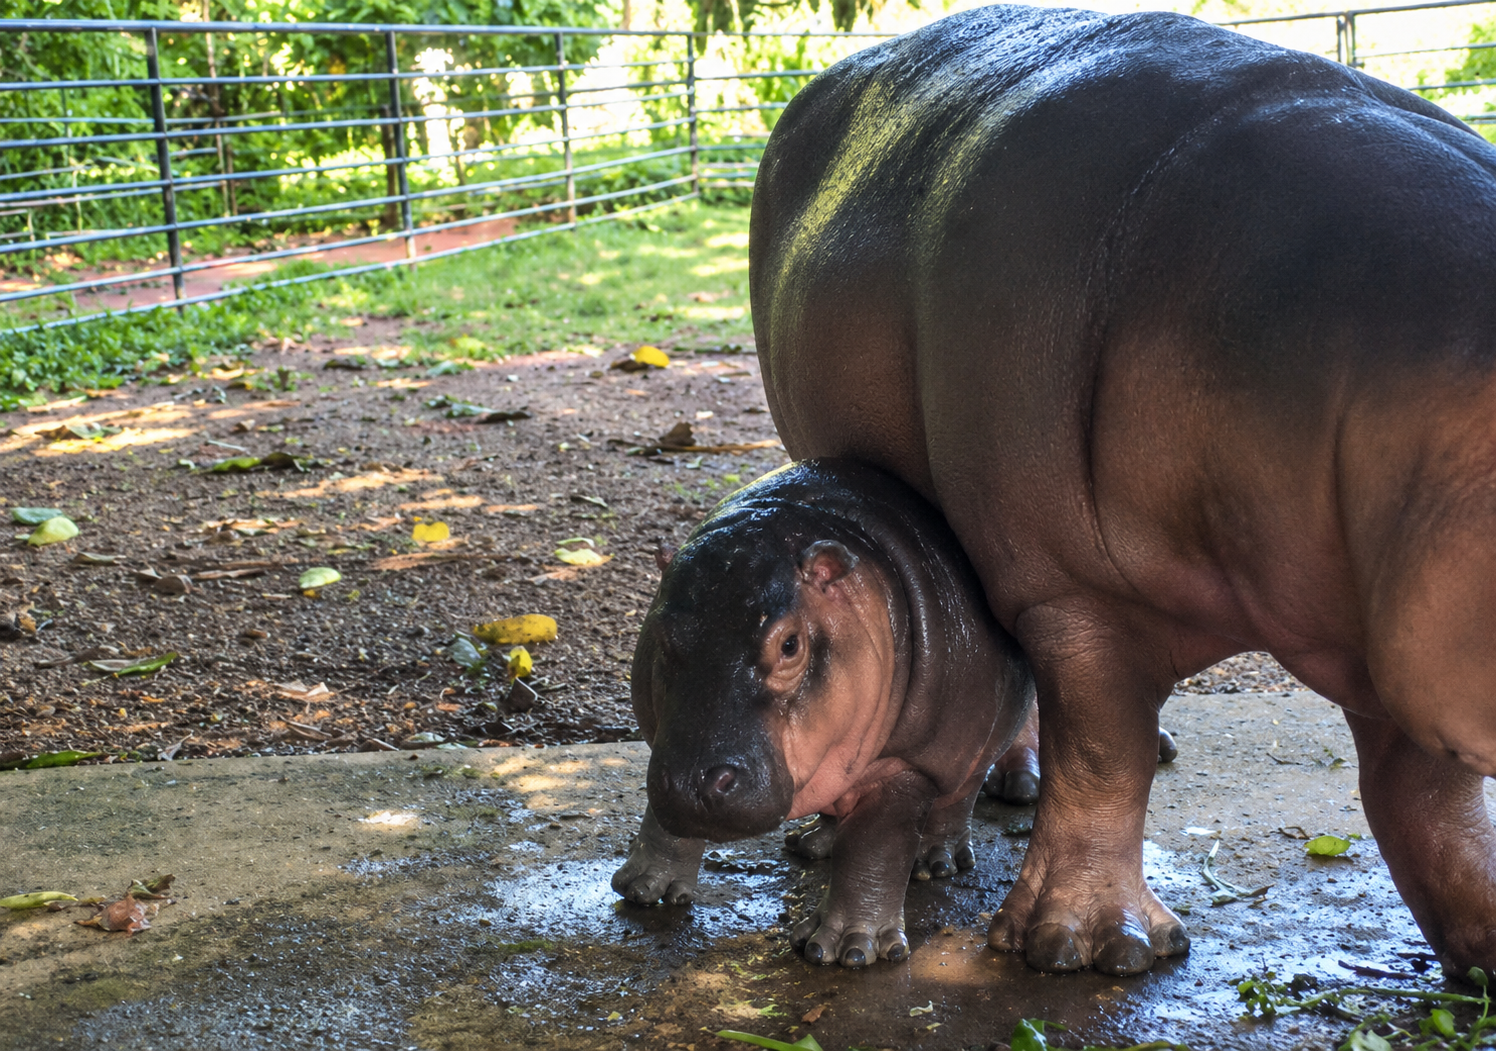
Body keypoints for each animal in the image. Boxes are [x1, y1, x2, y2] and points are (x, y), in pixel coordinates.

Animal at [612, 459, 1033, 967]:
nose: (694, 785)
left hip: (973, 741)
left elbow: (874, 847)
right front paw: (641, 889)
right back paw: (813, 843)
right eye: (662, 636)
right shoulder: (665, 742)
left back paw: (937, 861)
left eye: (790, 644)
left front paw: (846, 949)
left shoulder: (903, 763)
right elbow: (662, 816)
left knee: (958, 796)